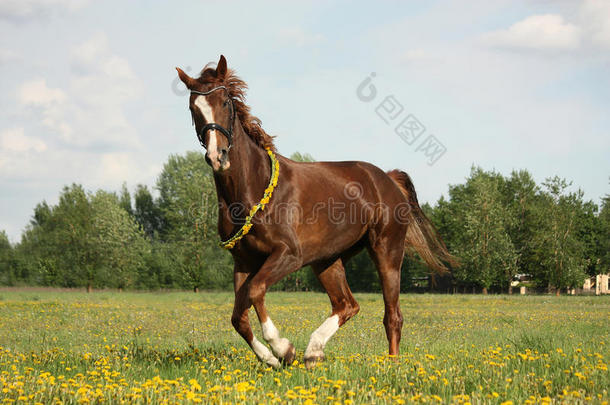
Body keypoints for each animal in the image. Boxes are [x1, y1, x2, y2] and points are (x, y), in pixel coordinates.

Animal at [173, 55, 454, 368]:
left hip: (387, 253)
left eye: (225, 102)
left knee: (392, 315)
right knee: (347, 305)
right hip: (327, 261)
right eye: (193, 108)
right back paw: (314, 351)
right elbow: (238, 318)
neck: (253, 189)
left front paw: (283, 348)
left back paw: (388, 364)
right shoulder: (243, 263)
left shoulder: (289, 255)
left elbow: (256, 291)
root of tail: (387, 179)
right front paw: (270, 359)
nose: (217, 156)